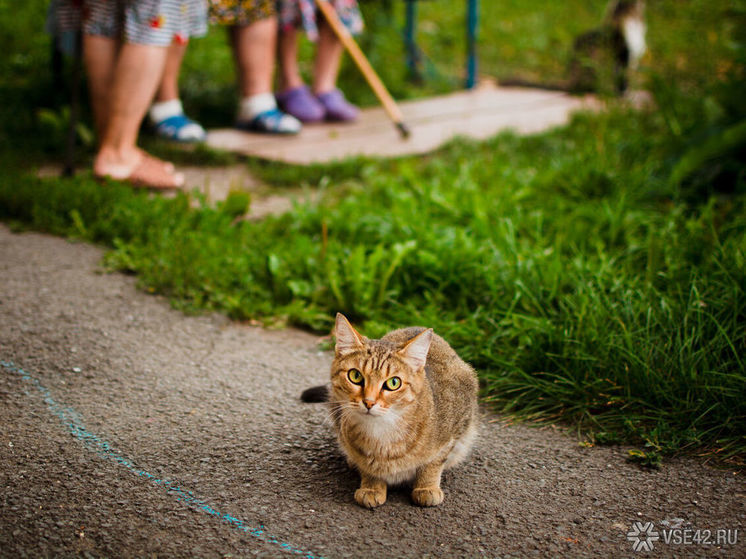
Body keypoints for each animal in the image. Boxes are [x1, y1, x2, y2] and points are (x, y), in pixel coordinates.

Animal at [300, 312, 476, 510]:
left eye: (393, 383)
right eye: (355, 376)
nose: (369, 402)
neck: (381, 432)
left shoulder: (457, 424)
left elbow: (433, 464)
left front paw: (426, 487)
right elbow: (367, 466)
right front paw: (372, 486)